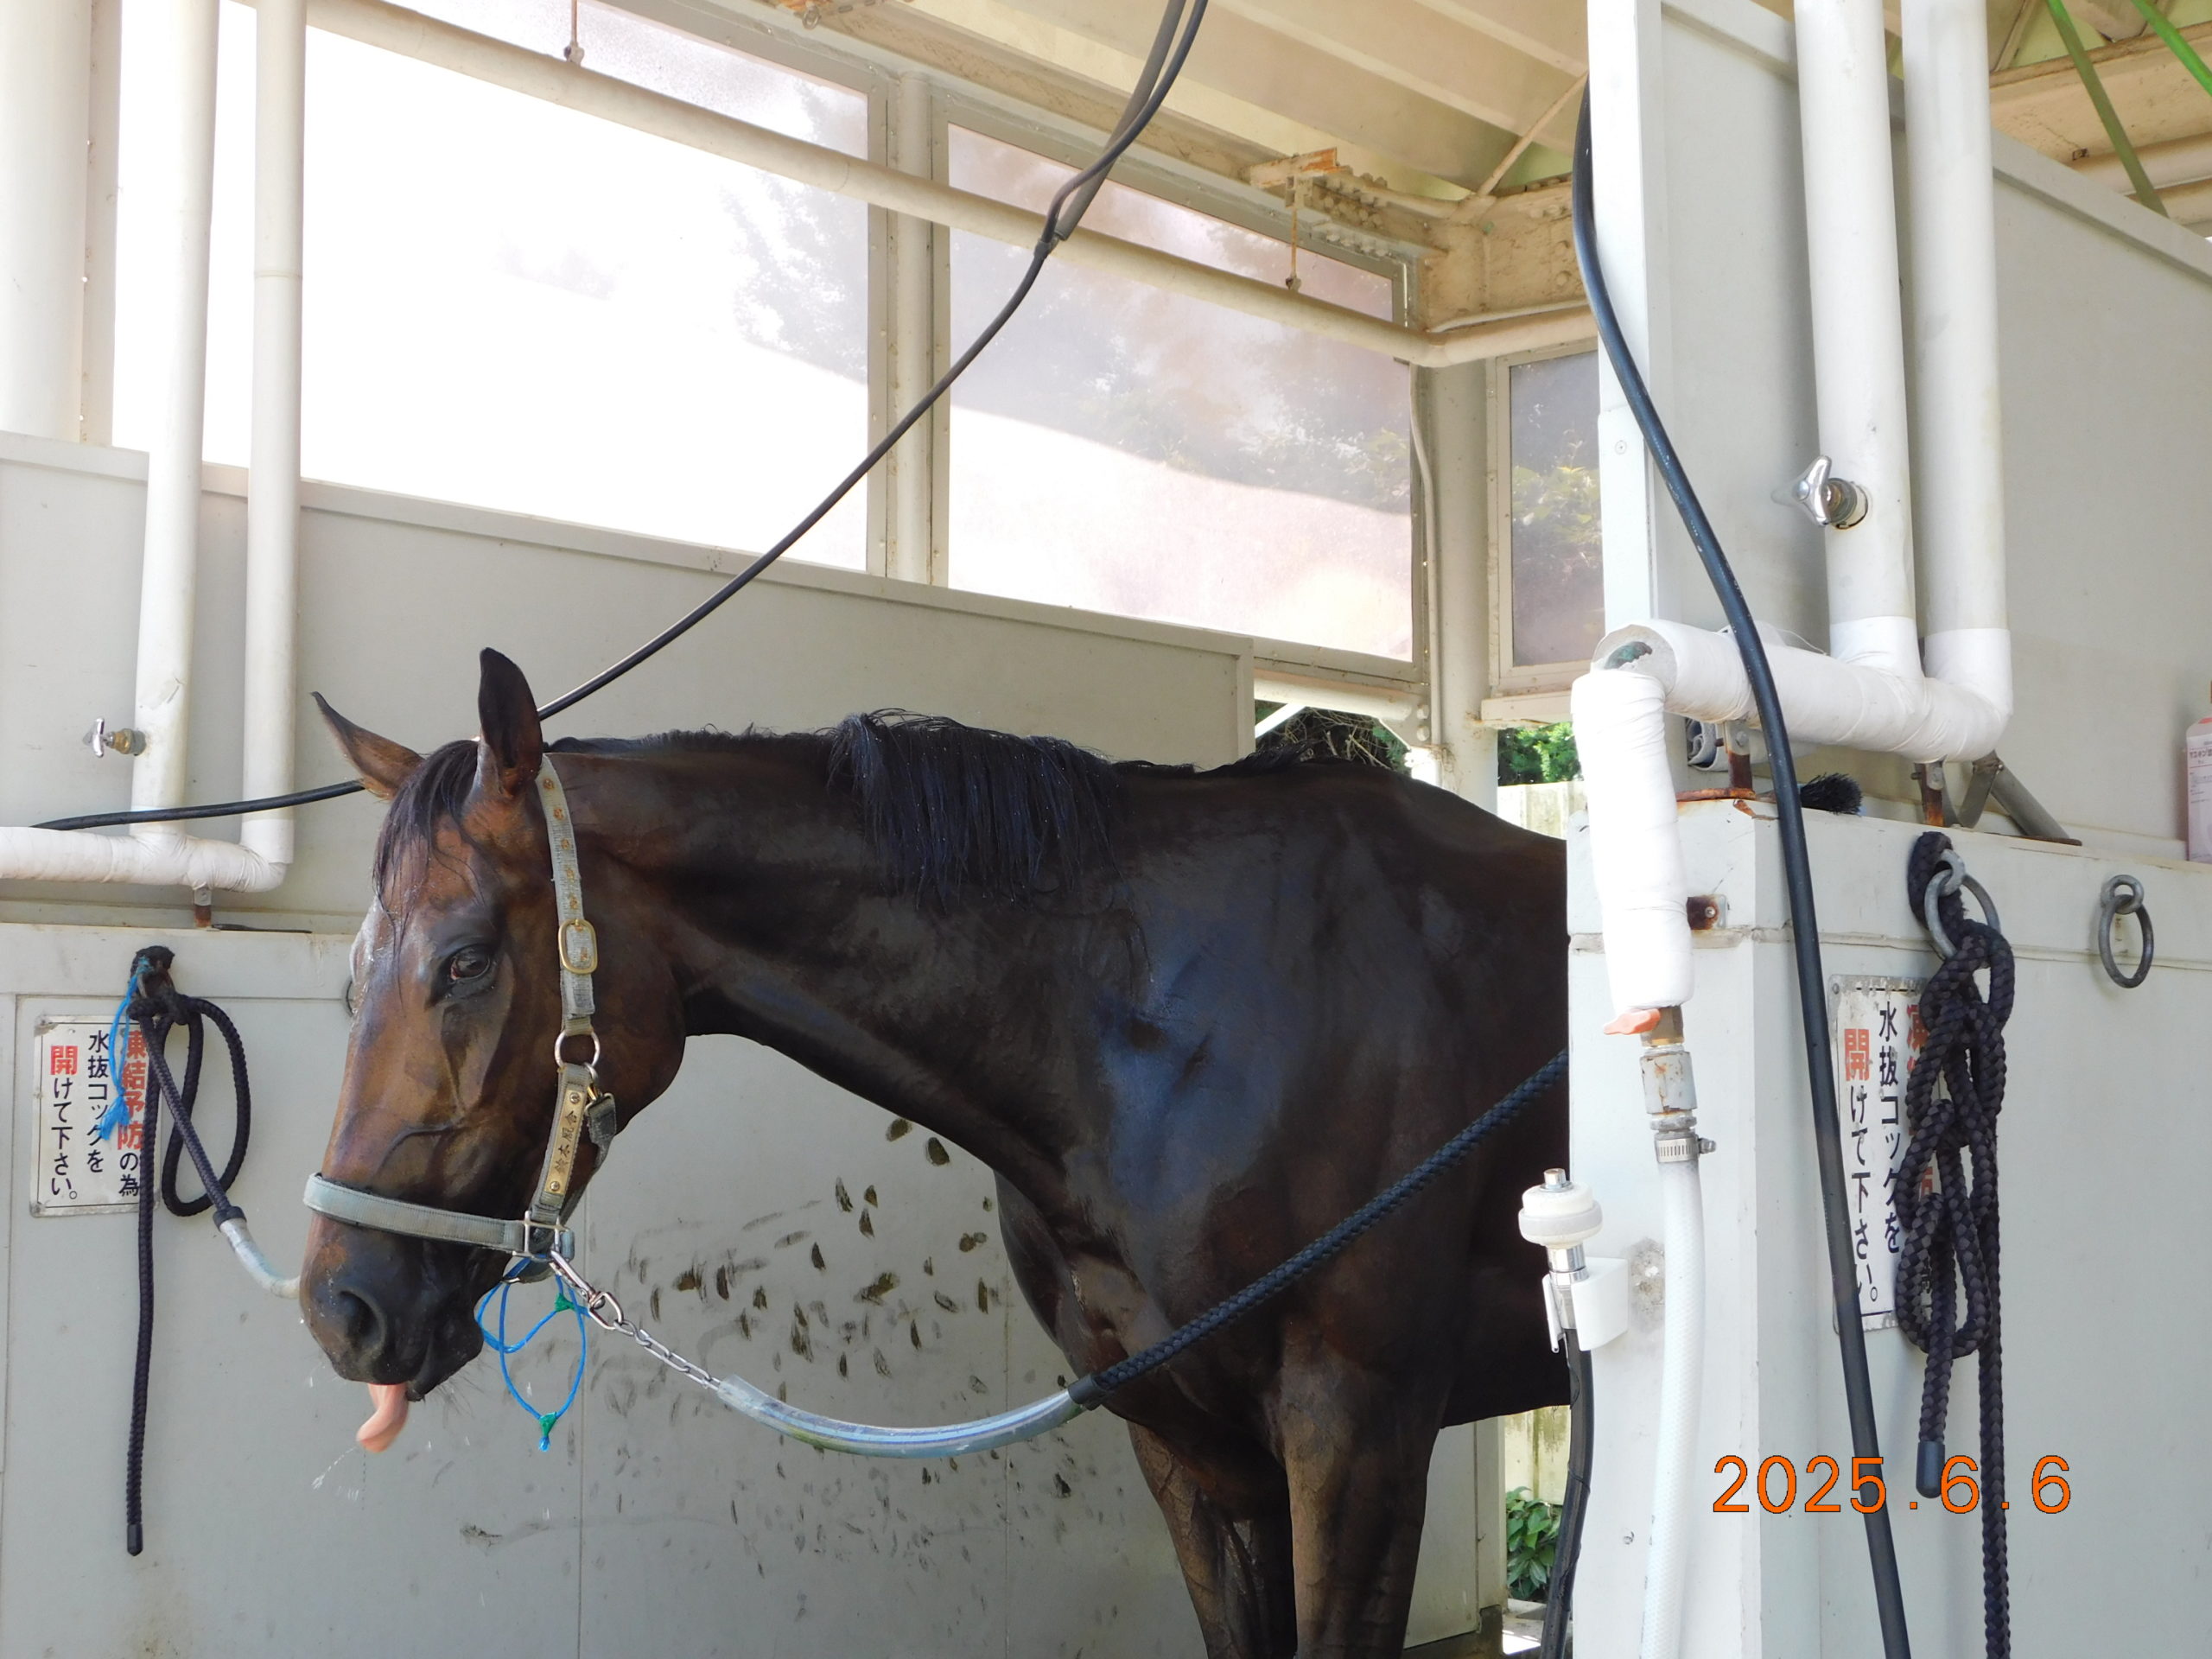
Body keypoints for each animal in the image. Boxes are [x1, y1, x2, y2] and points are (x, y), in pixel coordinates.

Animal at [300, 648, 1568, 1658]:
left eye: (466, 960)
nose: (340, 1305)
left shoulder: (1358, 1434)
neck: (1170, 1025)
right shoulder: (1191, 1444)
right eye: (357, 968)